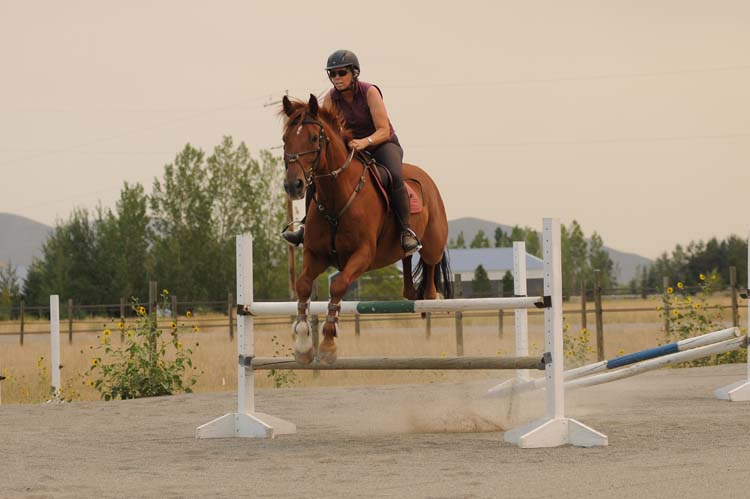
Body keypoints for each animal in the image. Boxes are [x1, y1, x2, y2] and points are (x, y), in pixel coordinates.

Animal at [280, 94, 450, 368]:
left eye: (314, 138)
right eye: (285, 138)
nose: (293, 185)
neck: (336, 196)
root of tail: (426, 178)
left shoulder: (362, 255)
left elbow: (338, 286)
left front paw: (328, 344)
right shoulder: (316, 255)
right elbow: (303, 285)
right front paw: (304, 345)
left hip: (434, 241)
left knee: (430, 264)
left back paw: (432, 296)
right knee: (406, 263)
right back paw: (411, 285)